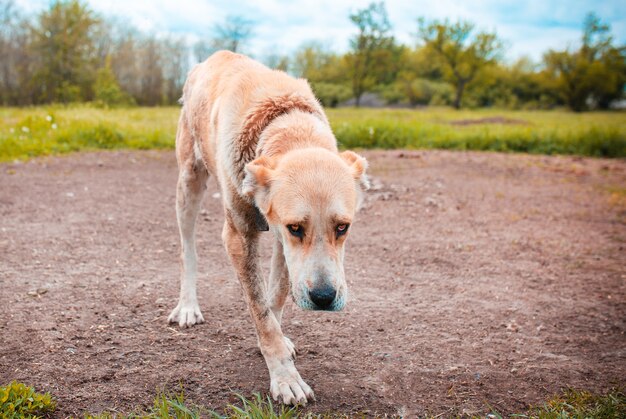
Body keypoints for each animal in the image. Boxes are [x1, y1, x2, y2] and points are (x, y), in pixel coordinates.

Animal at [168, 50, 368, 406]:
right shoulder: (240, 236)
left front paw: (278, 346)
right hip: (189, 181)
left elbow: (275, 297)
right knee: (187, 249)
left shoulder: (281, 243)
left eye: (343, 227)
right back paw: (188, 306)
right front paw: (286, 378)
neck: (287, 125)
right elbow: (260, 309)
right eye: (296, 227)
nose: (323, 297)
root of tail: (212, 58)